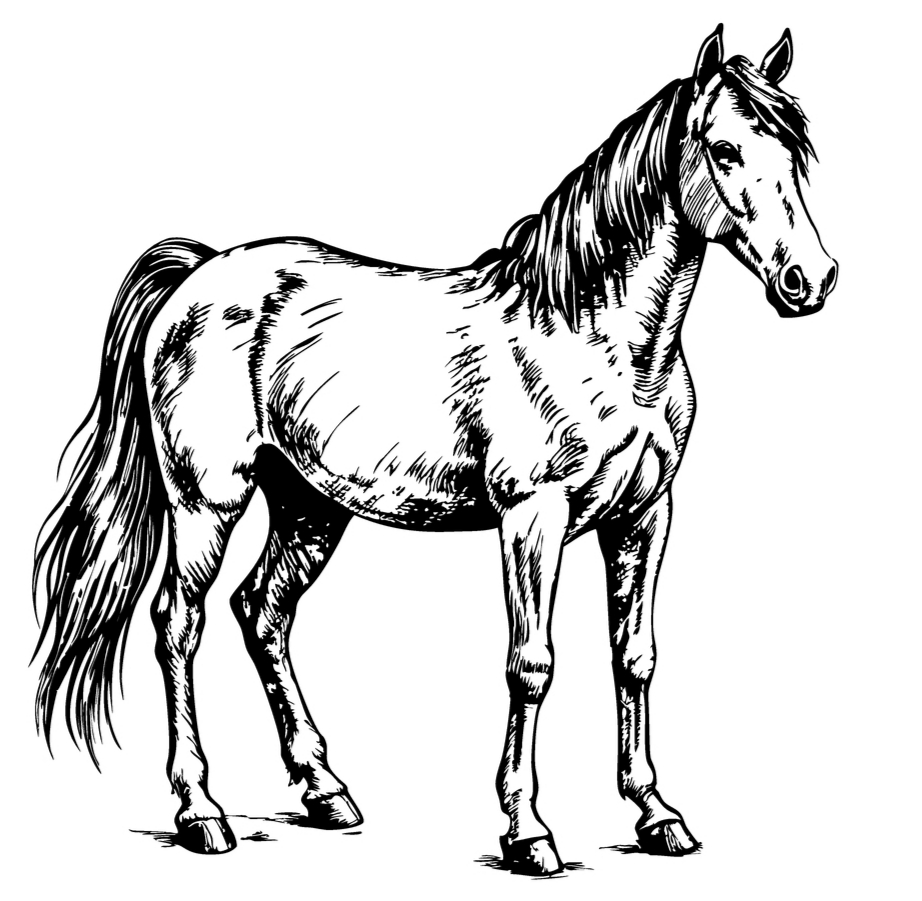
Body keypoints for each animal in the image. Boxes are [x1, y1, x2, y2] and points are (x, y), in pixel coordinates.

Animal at [33, 25, 837, 875]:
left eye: (796, 151)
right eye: (724, 149)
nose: (810, 279)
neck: (597, 339)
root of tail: (199, 274)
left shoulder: (645, 516)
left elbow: (636, 656)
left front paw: (656, 814)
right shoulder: (532, 517)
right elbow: (532, 665)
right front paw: (528, 831)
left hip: (309, 505)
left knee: (262, 610)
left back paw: (325, 790)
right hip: (207, 501)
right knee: (178, 624)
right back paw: (200, 811)